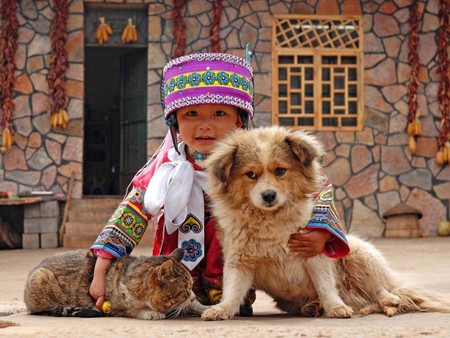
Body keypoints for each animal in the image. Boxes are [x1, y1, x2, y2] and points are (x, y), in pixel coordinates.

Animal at [24, 248, 206, 320]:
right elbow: (132, 310)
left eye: (191, 287)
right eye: (185, 290)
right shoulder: (114, 307)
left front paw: (206, 308)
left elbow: (195, 306)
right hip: (40, 277)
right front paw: (150, 312)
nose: (192, 296)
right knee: (43, 310)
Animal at [202, 125, 450, 320]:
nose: (269, 196)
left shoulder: (315, 255)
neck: (271, 220)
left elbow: (326, 285)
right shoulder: (239, 261)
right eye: (251, 175)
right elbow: (232, 290)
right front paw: (222, 309)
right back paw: (314, 307)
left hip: (357, 254)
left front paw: (336, 307)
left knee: (380, 290)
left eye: (280, 170)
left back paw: (387, 301)